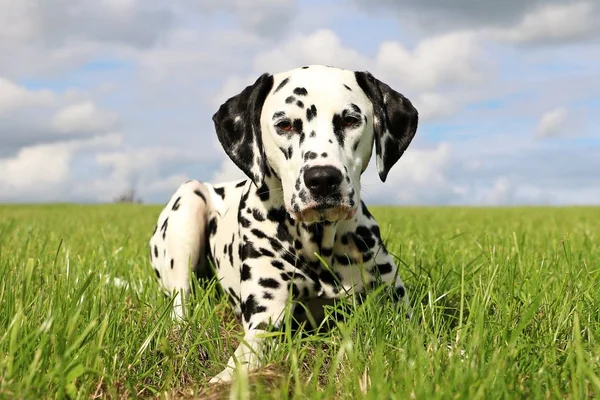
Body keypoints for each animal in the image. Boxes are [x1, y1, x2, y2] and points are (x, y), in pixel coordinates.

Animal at [148, 64, 420, 382]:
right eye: (286, 125)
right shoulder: (265, 320)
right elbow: (241, 361)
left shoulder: (396, 307)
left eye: (350, 120)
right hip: (188, 205)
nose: (322, 179)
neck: (317, 245)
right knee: (180, 302)